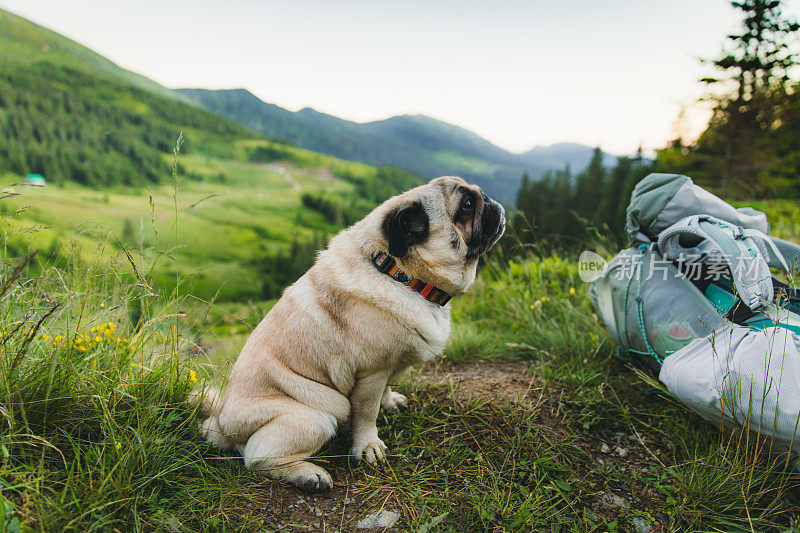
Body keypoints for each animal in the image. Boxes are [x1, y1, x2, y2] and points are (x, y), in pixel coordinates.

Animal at [193, 176, 504, 490]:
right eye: (467, 205)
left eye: (477, 196)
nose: (491, 199)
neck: (398, 273)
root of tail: (219, 422)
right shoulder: (371, 373)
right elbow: (367, 414)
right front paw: (368, 447)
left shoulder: (389, 366)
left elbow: (387, 389)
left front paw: (390, 402)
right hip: (313, 417)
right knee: (258, 458)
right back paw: (308, 475)